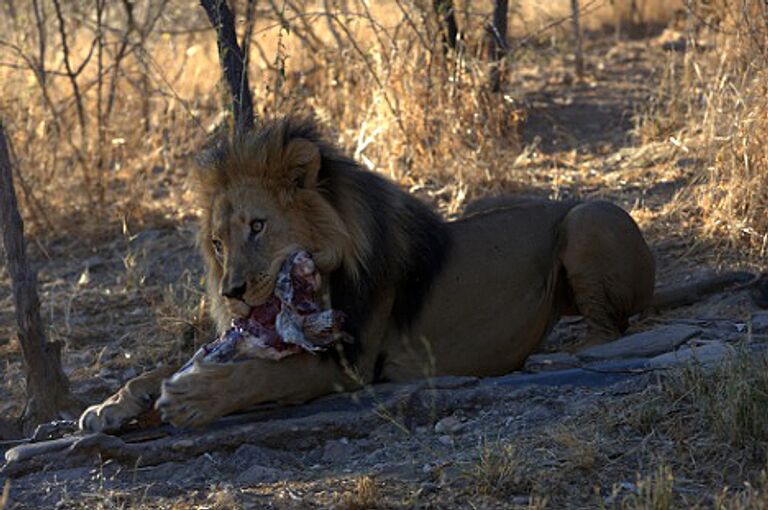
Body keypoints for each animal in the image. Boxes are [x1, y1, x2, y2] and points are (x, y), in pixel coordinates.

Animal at [76, 115, 656, 430]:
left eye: (258, 226)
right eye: (218, 243)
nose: (232, 292)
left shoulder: (347, 363)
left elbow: (256, 376)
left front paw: (192, 397)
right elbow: (161, 368)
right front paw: (110, 405)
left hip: (589, 217)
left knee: (610, 329)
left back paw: (554, 358)